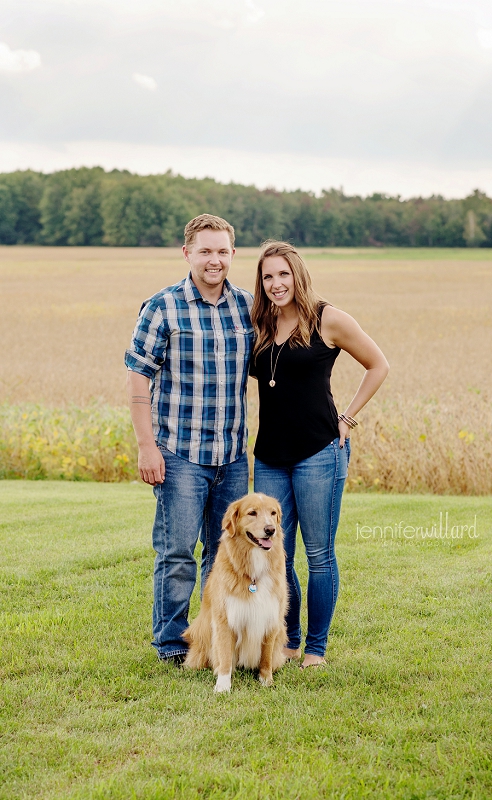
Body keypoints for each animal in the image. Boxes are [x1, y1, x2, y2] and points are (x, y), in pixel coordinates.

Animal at [183, 490, 286, 692]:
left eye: (273, 513)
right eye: (252, 513)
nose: (271, 530)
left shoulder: (272, 616)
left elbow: (266, 656)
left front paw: (266, 680)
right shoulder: (225, 618)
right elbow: (224, 656)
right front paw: (223, 686)